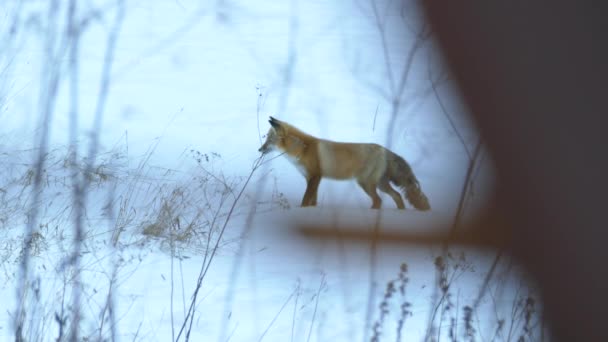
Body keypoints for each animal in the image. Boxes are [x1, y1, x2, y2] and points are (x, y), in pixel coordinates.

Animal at [258, 116, 430, 210]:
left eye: (269, 140)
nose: (260, 149)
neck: (303, 149)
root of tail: (384, 149)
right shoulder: (312, 179)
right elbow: (313, 201)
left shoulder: (315, 177)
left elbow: (305, 200)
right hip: (381, 184)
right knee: (398, 196)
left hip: (365, 183)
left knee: (379, 201)